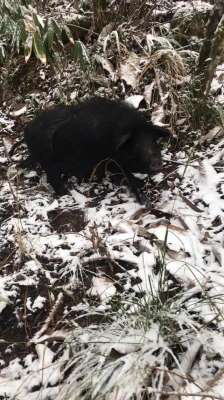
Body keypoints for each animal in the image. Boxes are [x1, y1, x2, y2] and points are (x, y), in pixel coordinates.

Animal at [9, 97, 169, 203]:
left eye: (153, 141)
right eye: (136, 146)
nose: (157, 165)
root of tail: (27, 131)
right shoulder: (111, 160)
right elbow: (127, 176)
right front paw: (145, 200)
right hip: (49, 161)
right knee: (52, 178)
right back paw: (66, 193)